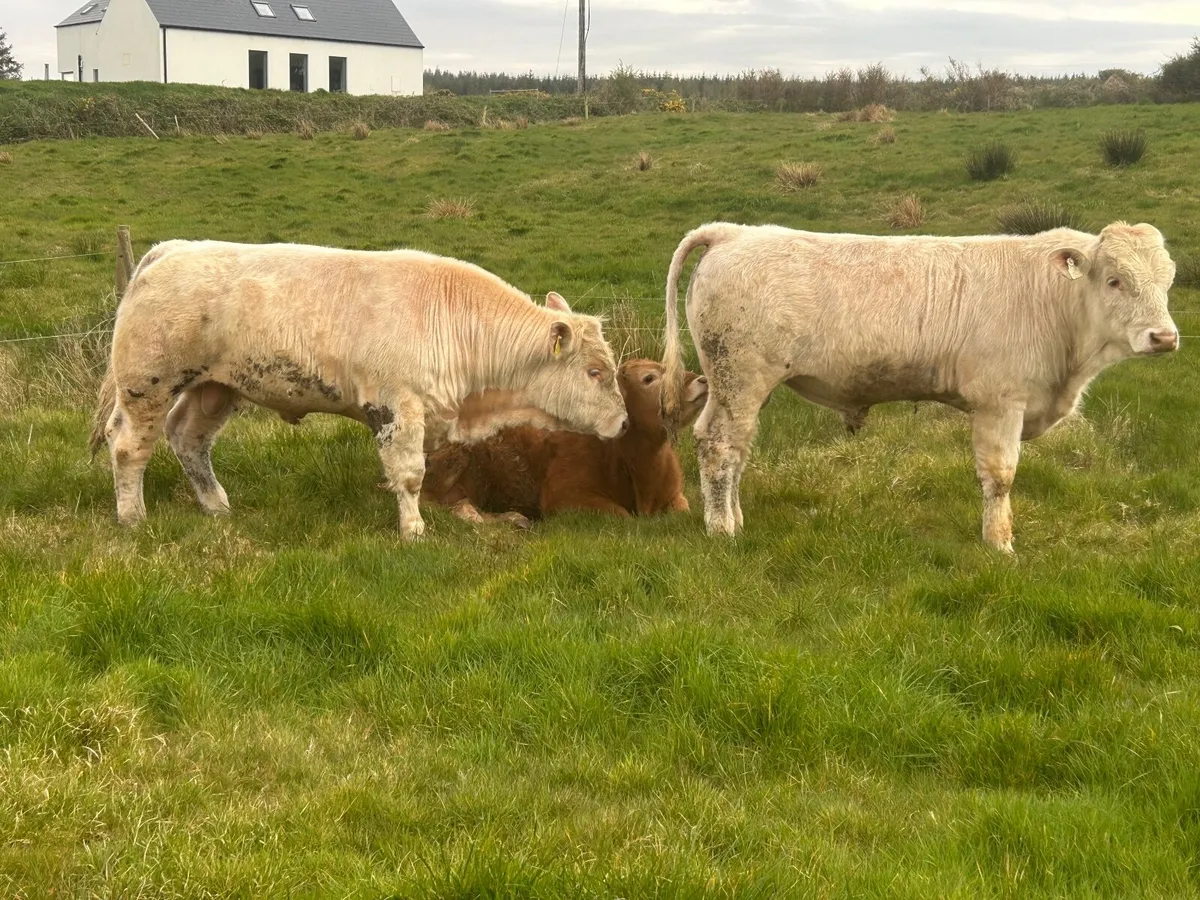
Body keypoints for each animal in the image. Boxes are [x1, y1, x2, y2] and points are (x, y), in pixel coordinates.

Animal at [88, 240, 628, 540]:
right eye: (595, 372)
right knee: (129, 447)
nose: (623, 422)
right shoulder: (395, 407)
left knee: (189, 439)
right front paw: (413, 530)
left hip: (214, 388)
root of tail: (170, 249)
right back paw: (132, 517)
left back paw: (216, 505)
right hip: (147, 385)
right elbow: (409, 475)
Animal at [422, 359, 709, 527]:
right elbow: (623, 516)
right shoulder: (565, 496)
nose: (702, 380)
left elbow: (681, 511)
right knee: (440, 506)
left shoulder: (676, 496)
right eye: (649, 378)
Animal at [660, 221, 1179, 552]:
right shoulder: (1000, 402)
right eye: (1115, 280)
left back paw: (734, 518)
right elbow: (1000, 476)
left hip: (740, 387)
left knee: (737, 448)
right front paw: (1000, 545)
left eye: (1169, 281)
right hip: (740, 379)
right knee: (718, 445)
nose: (1165, 337)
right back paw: (722, 530)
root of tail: (733, 231)